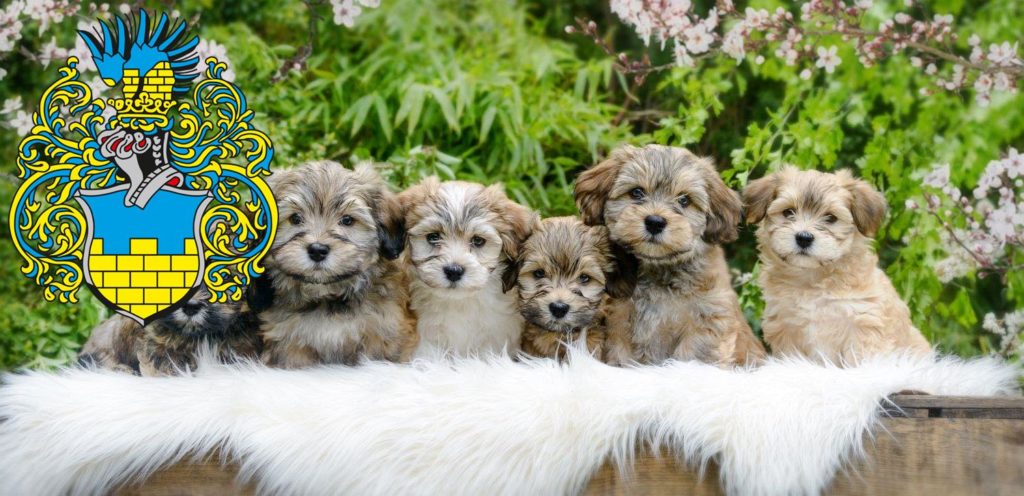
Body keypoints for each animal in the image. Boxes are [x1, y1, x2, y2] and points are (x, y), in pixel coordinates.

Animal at [249, 160, 413, 366]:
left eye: (347, 220)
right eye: (295, 218)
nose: (317, 250)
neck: (327, 296)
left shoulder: (382, 333)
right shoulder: (289, 342)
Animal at [573, 145, 765, 366]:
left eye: (684, 200)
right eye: (636, 192)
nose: (655, 222)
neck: (658, 268)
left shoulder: (705, 321)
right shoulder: (618, 323)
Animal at [741, 167, 933, 364]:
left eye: (830, 218)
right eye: (788, 212)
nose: (804, 238)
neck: (812, 279)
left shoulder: (863, 325)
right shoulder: (786, 327)